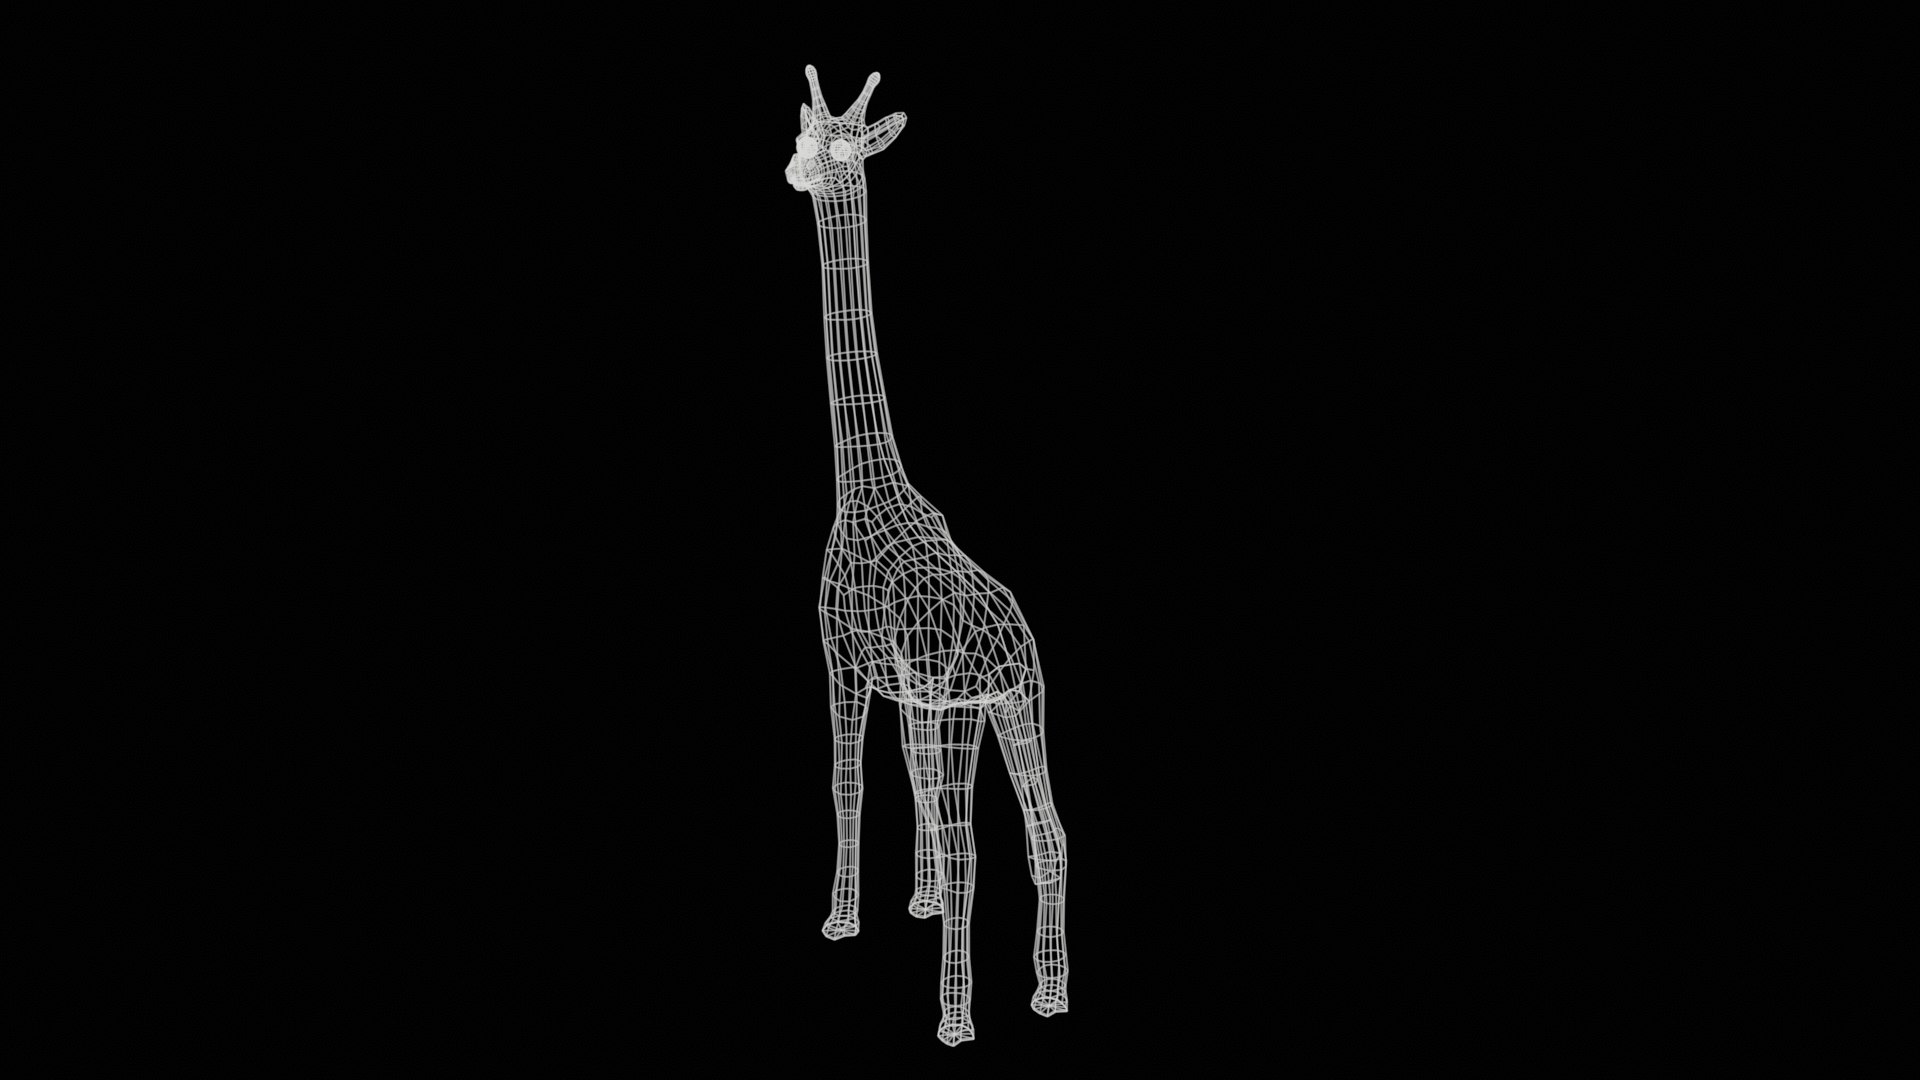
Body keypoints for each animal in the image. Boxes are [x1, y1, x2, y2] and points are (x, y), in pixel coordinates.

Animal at [784, 66, 1069, 1047]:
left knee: (974, 847)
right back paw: (1049, 994)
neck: (865, 487)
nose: (793, 172)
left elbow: (846, 781)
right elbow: (904, 787)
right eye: (801, 132)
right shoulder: (916, 694)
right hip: (1015, 703)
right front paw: (914, 902)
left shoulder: (841, 656)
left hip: (967, 706)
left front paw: (841, 920)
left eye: (836, 148)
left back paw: (954, 1018)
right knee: (1047, 836)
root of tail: (1010, 644)